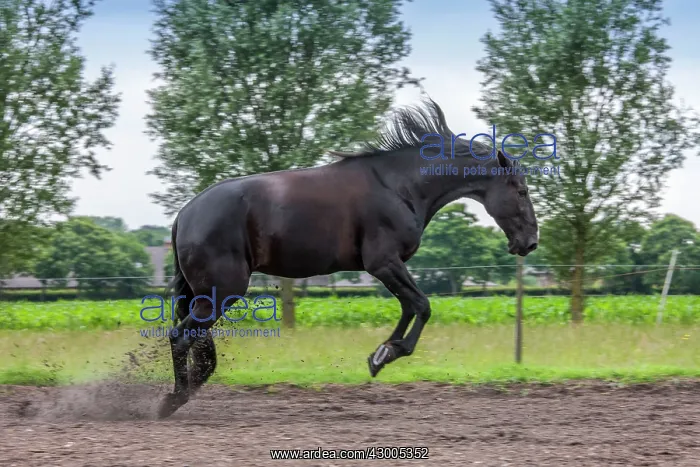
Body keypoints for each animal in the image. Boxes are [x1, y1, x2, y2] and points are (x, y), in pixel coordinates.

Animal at [157, 98, 539, 418]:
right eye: (521, 190)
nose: (530, 242)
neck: (400, 186)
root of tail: (184, 215)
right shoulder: (383, 262)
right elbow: (422, 305)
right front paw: (387, 354)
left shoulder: (388, 266)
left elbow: (410, 307)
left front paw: (382, 354)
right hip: (224, 292)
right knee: (181, 337)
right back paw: (171, 401)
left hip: (205, 294)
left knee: (198, 346)